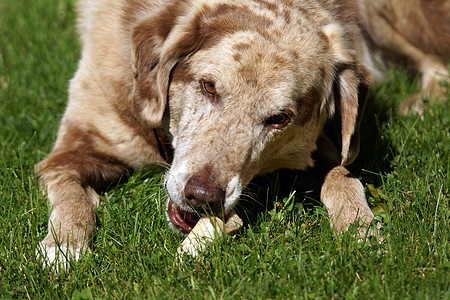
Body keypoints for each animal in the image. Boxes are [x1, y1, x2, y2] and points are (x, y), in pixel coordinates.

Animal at [34, 0, 446, 268]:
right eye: (208, 86)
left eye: (279, 118)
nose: (202, 198)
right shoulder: (70, 151)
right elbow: (72, 195)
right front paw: (63, 247)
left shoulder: (322, 146)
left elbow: (344, 175)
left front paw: (361, 229)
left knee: (436, 62)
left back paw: (422, 105)